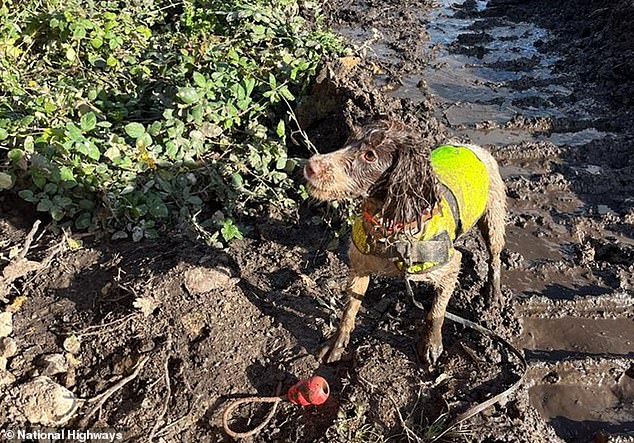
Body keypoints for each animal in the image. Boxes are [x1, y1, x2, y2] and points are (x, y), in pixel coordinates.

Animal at [302, 119, 504, 366]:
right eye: (349, 141)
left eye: (370, 155)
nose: (311, 165)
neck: (389, 229)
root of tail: (472, 147)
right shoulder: (360, 266)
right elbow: (349, 310)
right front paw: (336, 344)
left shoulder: (451, 264)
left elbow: (436, 312)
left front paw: (431, 345)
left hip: (493, 218)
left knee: (495, 257)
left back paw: (493, 295)